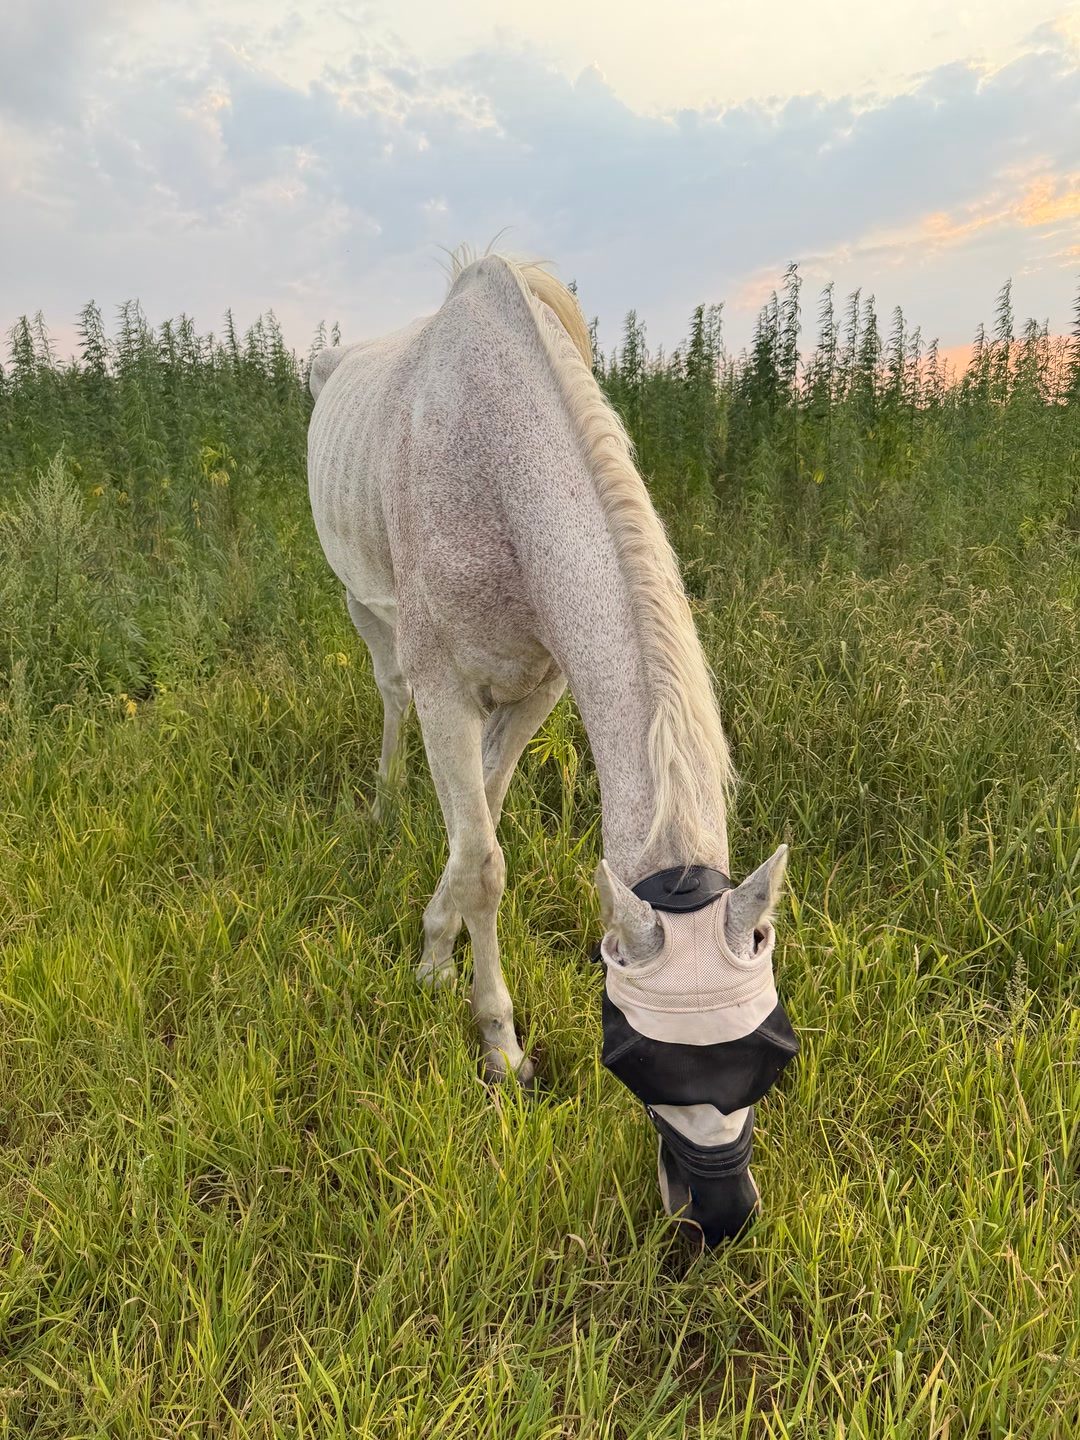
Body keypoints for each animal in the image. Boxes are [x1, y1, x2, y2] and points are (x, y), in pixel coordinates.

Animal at [306, 250, 797, 1244]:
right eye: (637, 1058)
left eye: (772, 1056)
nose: (720, 1216)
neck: (495, 463)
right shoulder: (444, 687)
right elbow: (487, 862)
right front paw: (498, 1046)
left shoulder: (536, 688)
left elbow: (476, 835)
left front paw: (434, 950)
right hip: (363, 608)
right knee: (385, 694)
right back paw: (381, 804)